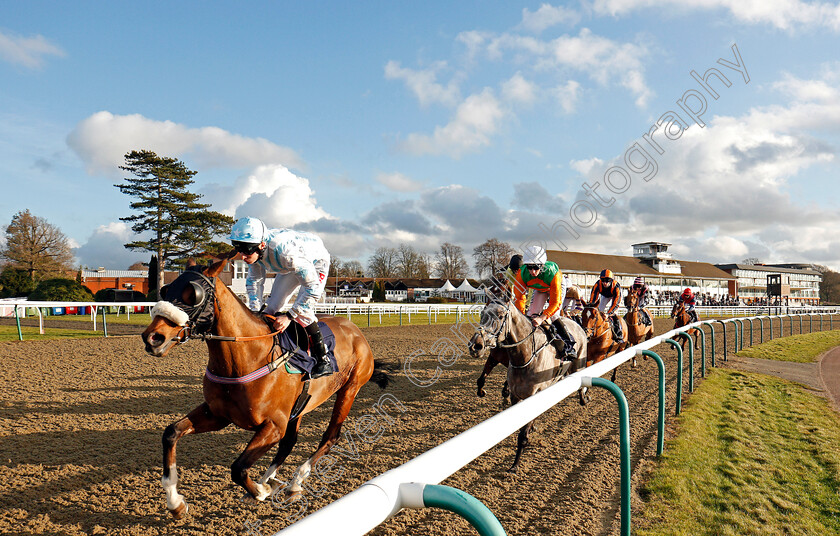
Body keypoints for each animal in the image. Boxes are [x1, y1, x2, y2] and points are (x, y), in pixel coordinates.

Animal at [141, 255, 388, 520]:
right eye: (166, 289)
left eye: (193, 294)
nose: (153, 337)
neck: (246, 357)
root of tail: (355, 330)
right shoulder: (218, 415)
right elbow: (171, 433)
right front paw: (175, 502)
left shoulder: (273, 424)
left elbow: (238, 467)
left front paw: (259, 491)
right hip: (301, 406)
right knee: (289, 442)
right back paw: (273, 480)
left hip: (349, 389)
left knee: (330, 436)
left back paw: (293, 482)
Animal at [470, 302, 588, 474]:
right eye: (482, 314)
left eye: (500, 316)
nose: (475, 346)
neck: (526, 356)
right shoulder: (516, 395)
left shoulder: (532, 395)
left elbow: (522, 435)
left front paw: (515, 465)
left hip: (579, 363)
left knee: (582, 382)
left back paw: (585, 397)